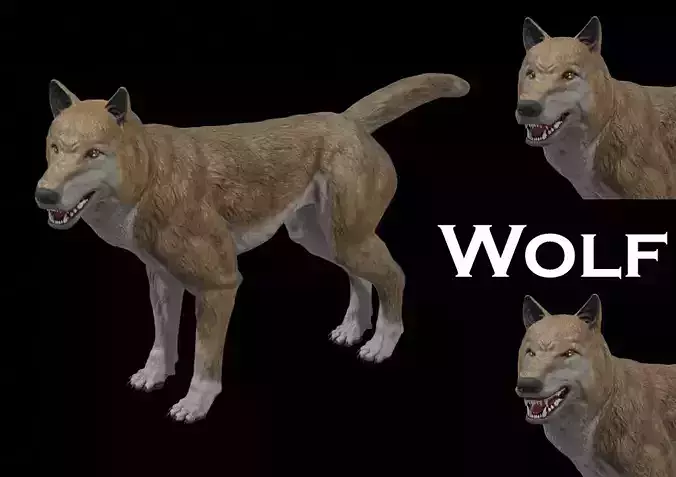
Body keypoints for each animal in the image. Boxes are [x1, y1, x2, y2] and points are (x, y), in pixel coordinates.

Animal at [35, 73, 470, 422]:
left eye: (93, 153)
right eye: (55, 148)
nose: (43, 195)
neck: (150, 174)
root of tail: (347, 120)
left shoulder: (219, 285)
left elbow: (204, 358)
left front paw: (195, 404)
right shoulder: (161, 280)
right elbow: (162, 341)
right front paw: (154, 377)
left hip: (348, 240)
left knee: (394, 275)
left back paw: (380, 343)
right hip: (323, 238)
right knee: (361, 279)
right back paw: (352, 329)